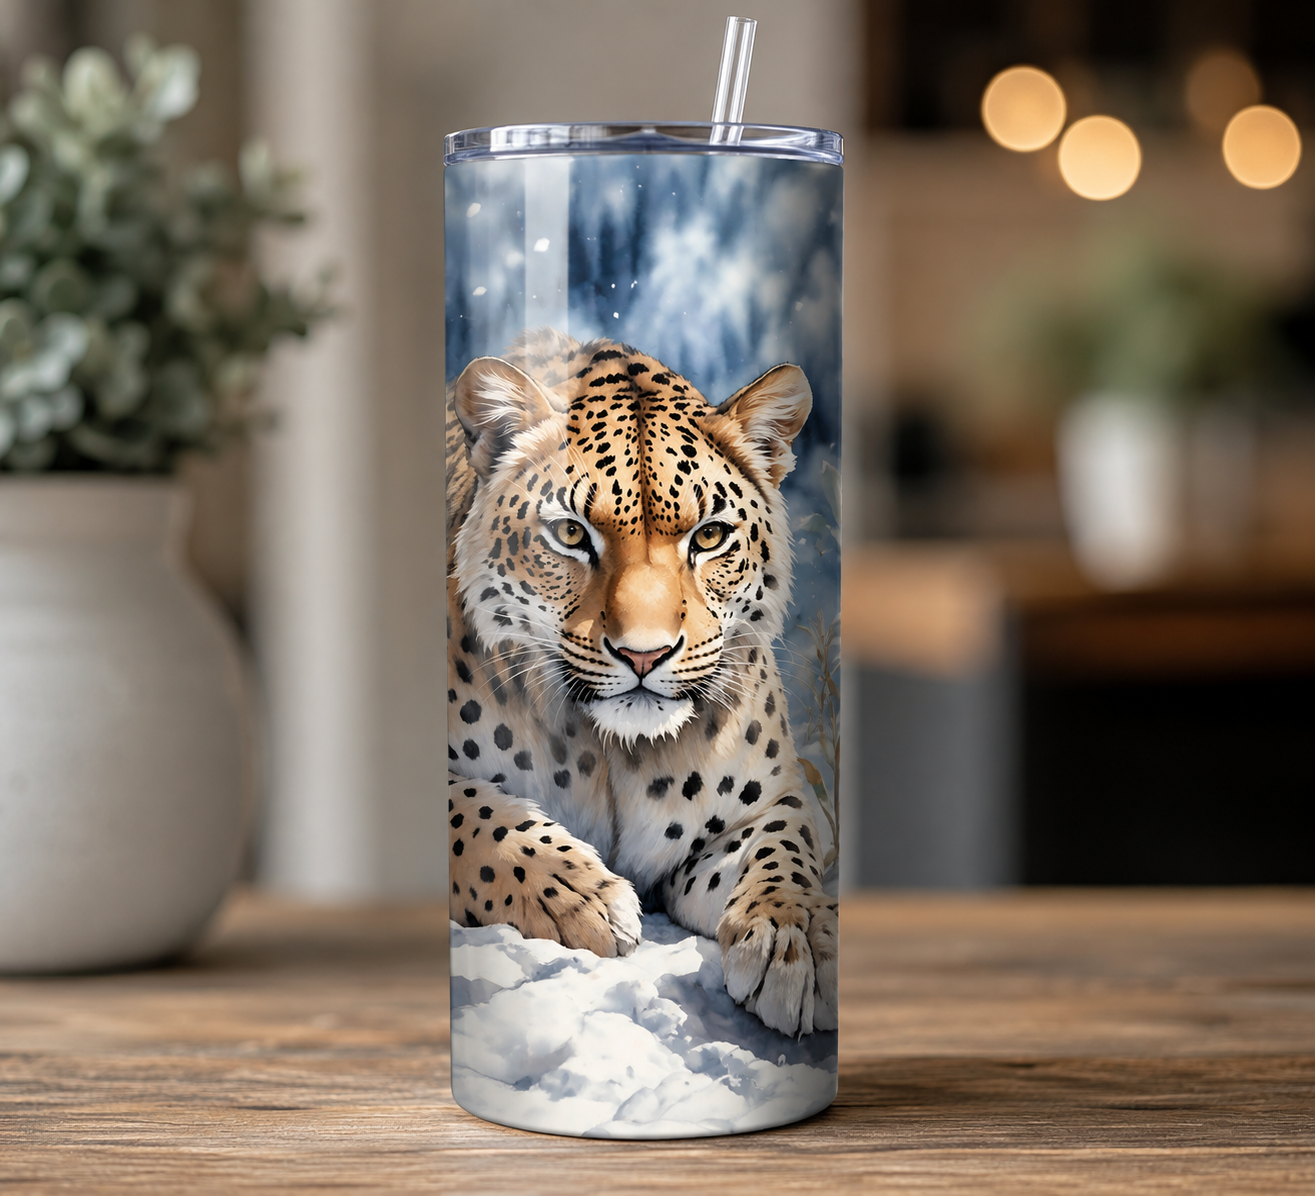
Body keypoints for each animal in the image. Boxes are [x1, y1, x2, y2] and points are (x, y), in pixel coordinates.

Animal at [446, 328, 838, 1037]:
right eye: (571, 533)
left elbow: (783, 853)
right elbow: (477, 816)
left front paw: (797, 942)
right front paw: (582, 895)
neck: (615, 754)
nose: (645, 654)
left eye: (710, 536)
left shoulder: (764, 805)